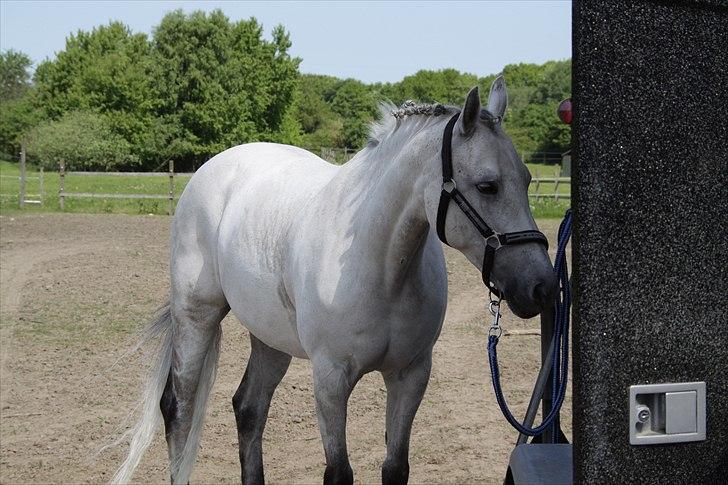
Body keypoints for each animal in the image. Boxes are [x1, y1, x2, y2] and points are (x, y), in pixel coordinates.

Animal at [112, 76, 557, 485]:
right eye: (487, 185)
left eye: (527, 180)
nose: (543, 286)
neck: (380, 268)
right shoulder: (330, 379)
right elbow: (338, 472)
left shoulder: (411, 375)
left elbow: (395, 468)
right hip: (197, 316)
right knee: (179, 411)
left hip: (270, 338)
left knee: (249, 408)